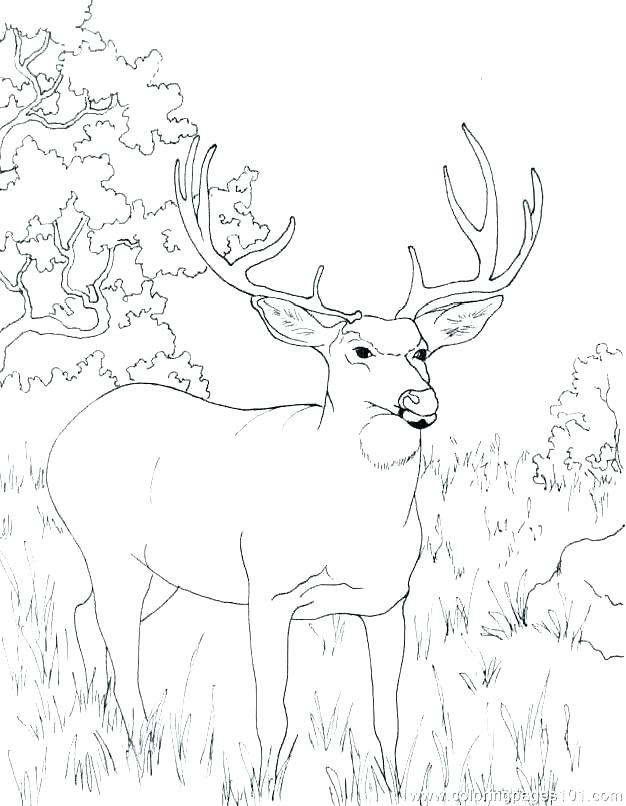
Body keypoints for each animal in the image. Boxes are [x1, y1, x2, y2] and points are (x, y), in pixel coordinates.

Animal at [46, 125, 542, 790]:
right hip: (108, 548)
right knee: (120, 644)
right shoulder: (269, 592)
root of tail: (67, 433)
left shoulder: (389, 601)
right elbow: (273, 718)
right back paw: (134, 746)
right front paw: (263, 786)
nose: (422, 401)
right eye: (357, 350)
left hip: (164, 572)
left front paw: (391, 785)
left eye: (422, 349)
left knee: (86, 616)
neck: (348, 527)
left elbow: (387, 715)